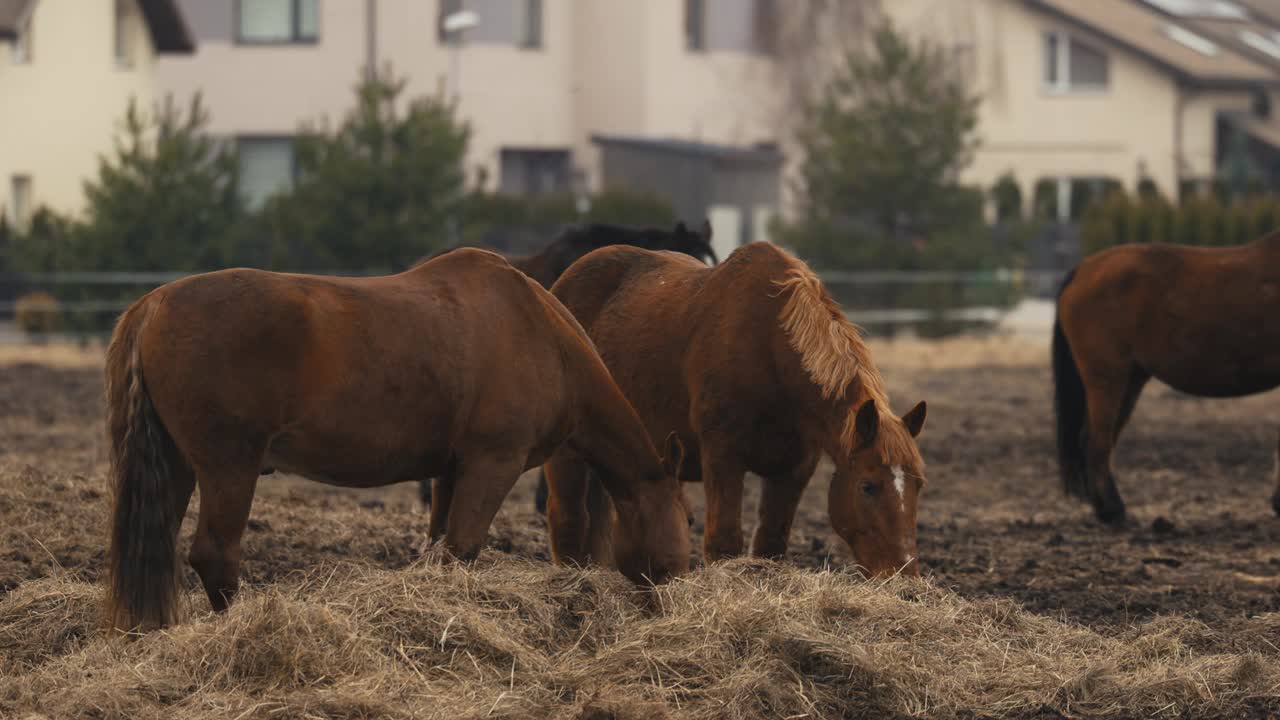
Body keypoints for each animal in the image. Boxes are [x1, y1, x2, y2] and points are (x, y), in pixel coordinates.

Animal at [102, 245, 691, 627]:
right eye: (684, 517)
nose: (672, 596)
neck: (542, 334)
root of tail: (152, 306)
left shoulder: (453, 471)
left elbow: (441, 545)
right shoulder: (491, 465)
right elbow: (462, 548)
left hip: (179, 468)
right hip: (230, 469)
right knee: (215, 555)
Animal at [542, 242, 931, 576]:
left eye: (919, 484)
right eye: (868, 485)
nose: (904, 576)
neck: (769, 348)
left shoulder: (794, 469)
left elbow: (771, 544)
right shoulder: (723, 456)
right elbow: (724, 542)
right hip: (567, 454)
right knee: (569, 520)